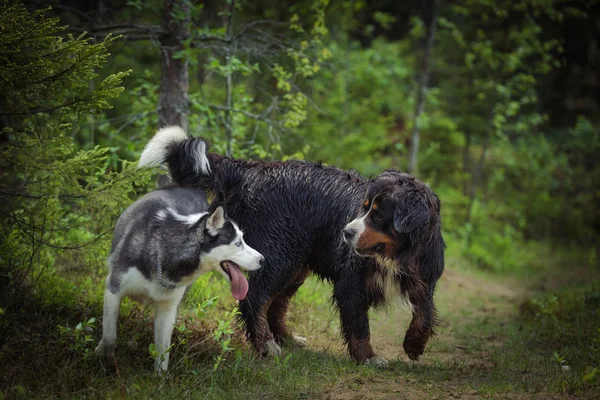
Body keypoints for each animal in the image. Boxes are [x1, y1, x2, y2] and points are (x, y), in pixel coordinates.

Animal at [95, 186, 264, 374]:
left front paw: (160, 378)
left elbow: (163, 353)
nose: (263, 260)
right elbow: (110, 335)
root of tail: (190, 188)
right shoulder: (113, 290)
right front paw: (104, 354)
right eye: (238, 243)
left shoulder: (167, 309)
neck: (161, 251)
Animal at [138, 126, 442, 368]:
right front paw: (368, 357)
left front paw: (414, 344)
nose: (346, 233)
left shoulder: (425, 278)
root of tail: (250, 169)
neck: (397, 255)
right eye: (364, 208)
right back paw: (266, 346)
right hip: (279, 256)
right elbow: (359, 327)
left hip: (295, 263)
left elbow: (425, 314)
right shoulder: (351, 283)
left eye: (378, 215)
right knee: (255, 299)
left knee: (275, 304)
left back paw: (286, 338)